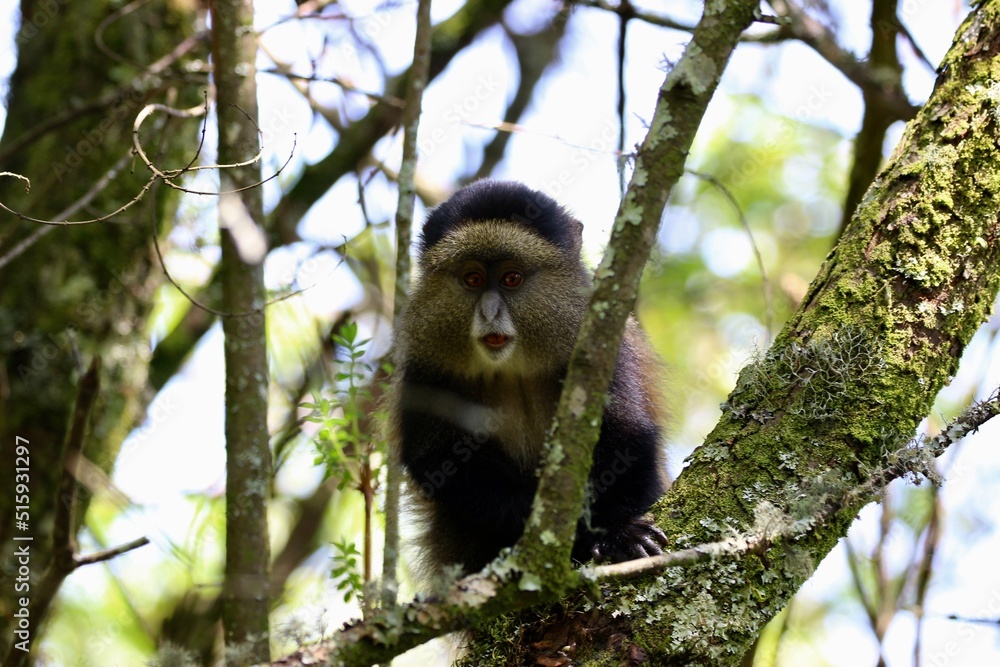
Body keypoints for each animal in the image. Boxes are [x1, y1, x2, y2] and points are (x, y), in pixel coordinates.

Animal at [389, 179, 669, 577]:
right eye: (473, 278)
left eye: (512, 278)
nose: (490, 312)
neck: (513, 366)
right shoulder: (423, 363)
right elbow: (438, 462)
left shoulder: (604, 347)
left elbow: (627, 436)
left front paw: (619, 533)